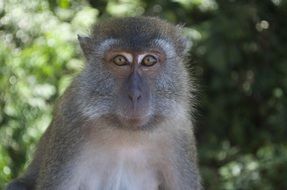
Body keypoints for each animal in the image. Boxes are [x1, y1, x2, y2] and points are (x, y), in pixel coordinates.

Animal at [5, 16, 201, 190]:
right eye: (120, 60)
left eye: (149, 60)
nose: (134, 95)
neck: (127, 134)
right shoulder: (70, 120)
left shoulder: (179, 130)